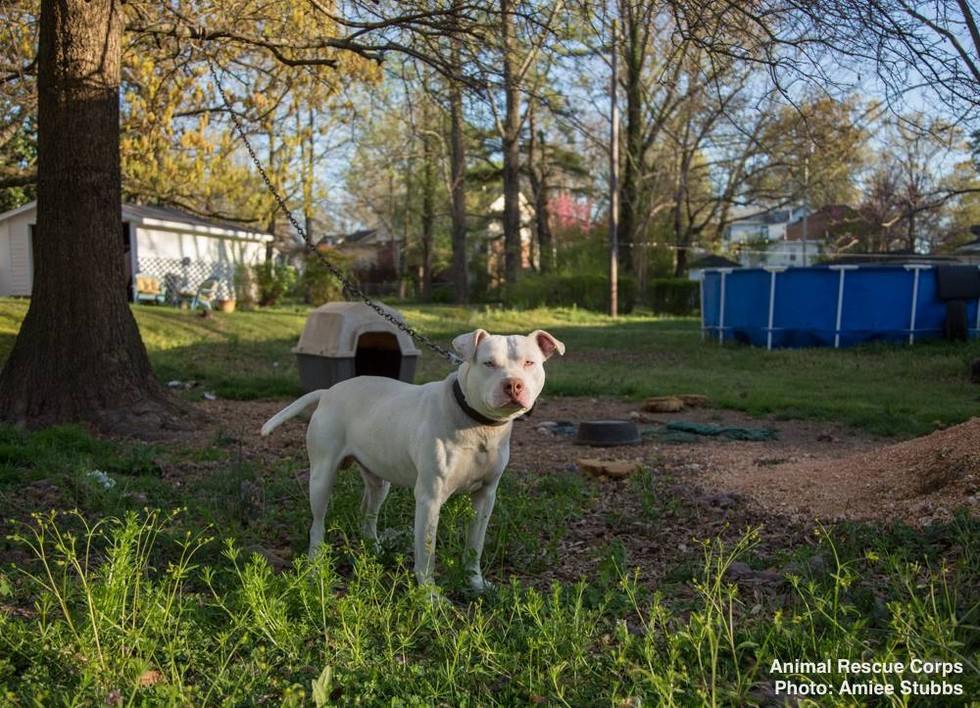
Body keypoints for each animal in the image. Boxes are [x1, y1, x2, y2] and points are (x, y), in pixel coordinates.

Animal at [262, 330, 568, 588]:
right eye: (489, 363)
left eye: (529, 362)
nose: (513, 384)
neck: (476, 423)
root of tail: (328, 391)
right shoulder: (429, 498)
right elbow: (426, 553)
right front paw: (429, 596)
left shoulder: (485, 497)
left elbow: (475, 545)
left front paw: (475, 582)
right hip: (322, 477)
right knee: (317, 523)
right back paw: (315, 565)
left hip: (378, 479)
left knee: (368, 513)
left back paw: (375, 549)